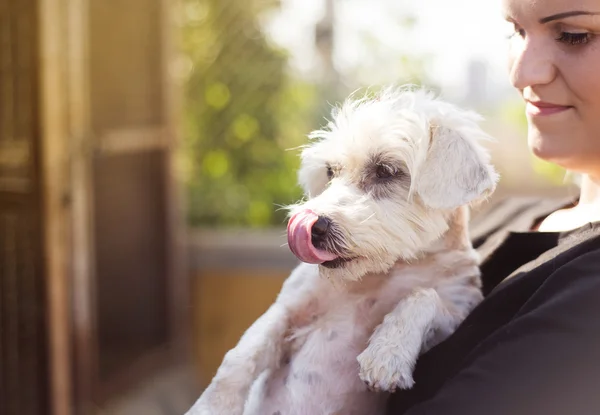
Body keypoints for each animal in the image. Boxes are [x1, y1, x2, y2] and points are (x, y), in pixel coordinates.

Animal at [188, 87, 496, 415]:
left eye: (385, 171)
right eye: (330, 171)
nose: (314, 227)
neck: (384, 272)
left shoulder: (458, 312)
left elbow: (424, 297)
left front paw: (388, 352)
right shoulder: (289, 307)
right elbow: (239, 357)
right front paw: (212, 407)